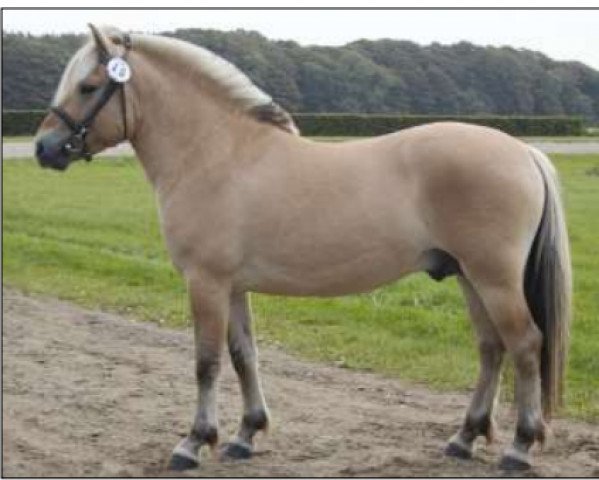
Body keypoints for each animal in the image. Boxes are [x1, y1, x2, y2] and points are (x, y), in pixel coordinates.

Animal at [36, 24, 572, 470]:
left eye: (88, 87)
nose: (44, 148)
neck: (217, 154)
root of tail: (523, 151)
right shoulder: (233, 287)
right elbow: (243, 355)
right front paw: (245, 435)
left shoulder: (205, 282)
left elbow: (206, 362)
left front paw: (193, 442)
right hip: (467, 276)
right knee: (491, 348)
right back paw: (464, 438)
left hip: (493, 279)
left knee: (525, 345)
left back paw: (520, 447)